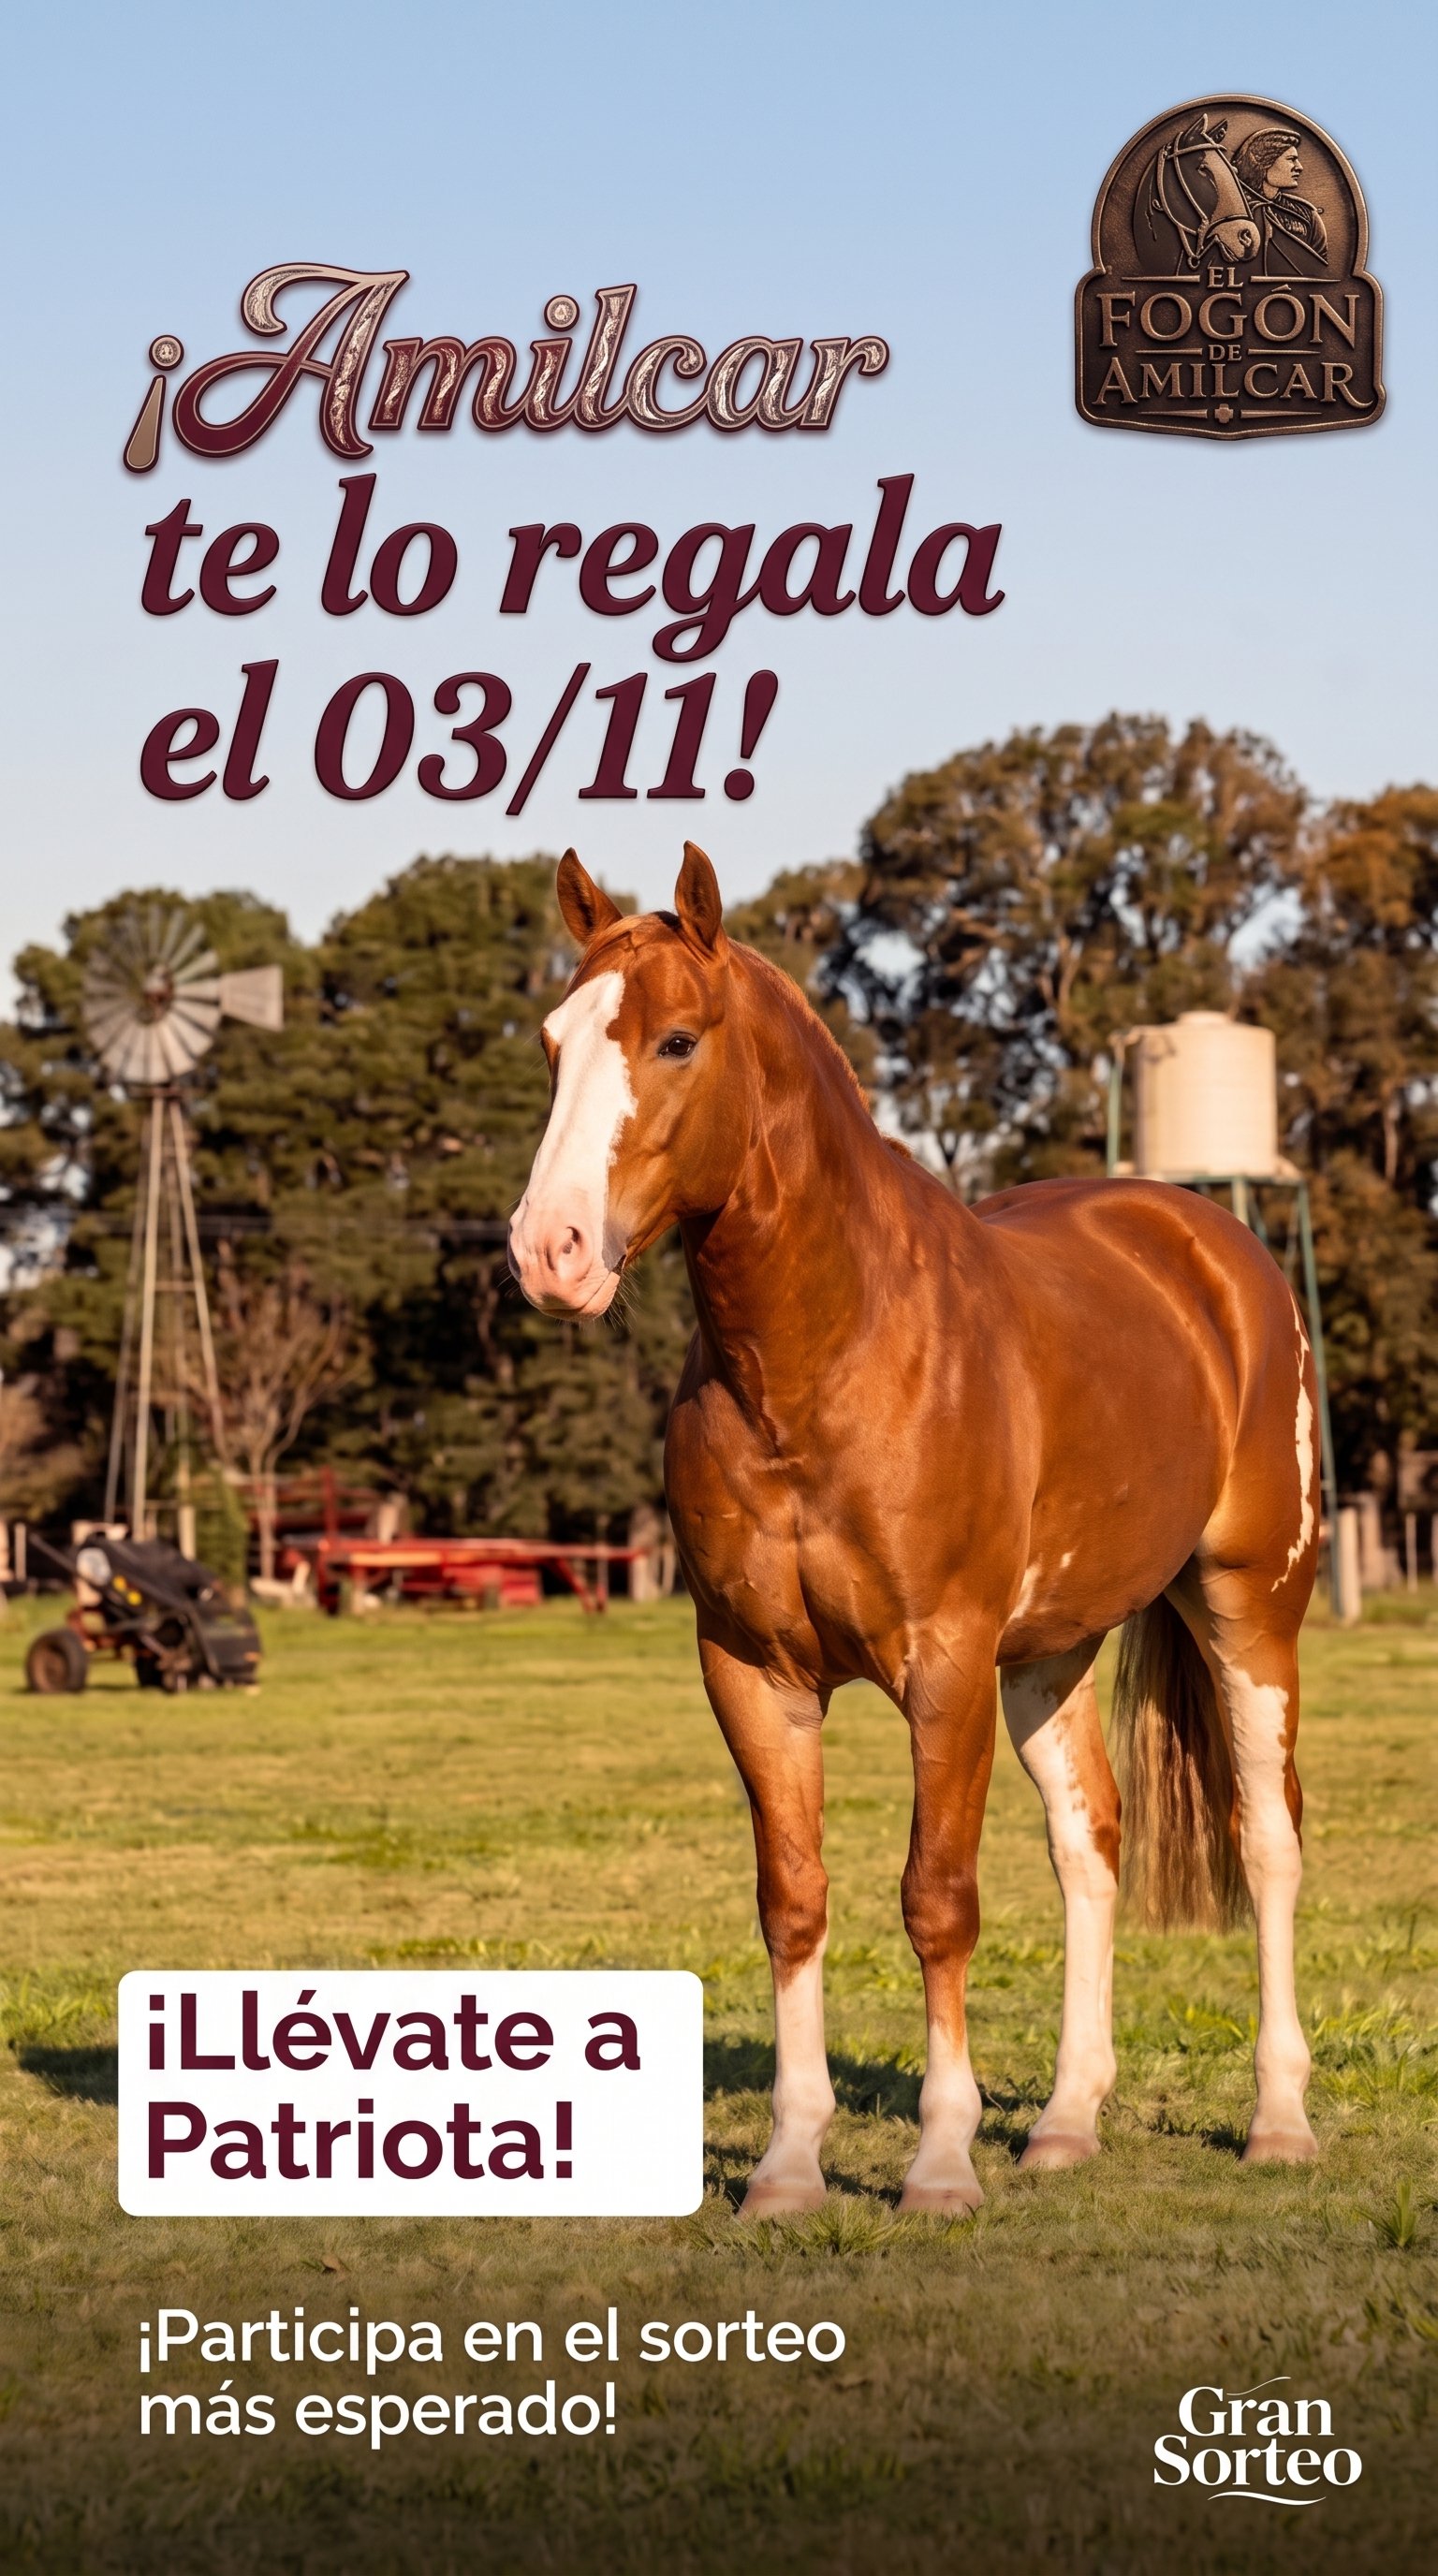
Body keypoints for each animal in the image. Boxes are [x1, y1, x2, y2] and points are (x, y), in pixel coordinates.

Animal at [508, 844, 1320, 2217]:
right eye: (556, 1045)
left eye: (676, 1040)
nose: (547, 1250)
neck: (826, 1357)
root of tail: (1207, 1245)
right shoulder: (752, 1671)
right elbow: (794, 1900)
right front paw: (789, 2164)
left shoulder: (942, 1664)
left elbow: (937, 1900)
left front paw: (940, 2163)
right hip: (1048, 1653)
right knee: (1090, 1846)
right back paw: (1064, 2122)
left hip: (1249, 1605)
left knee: (1265, 1839)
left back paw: (1278, 2120)